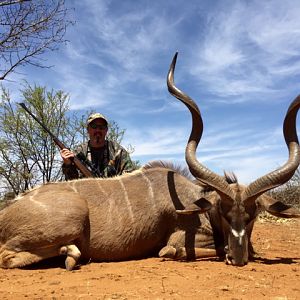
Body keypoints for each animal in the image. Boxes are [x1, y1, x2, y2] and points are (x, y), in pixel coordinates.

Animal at [0, 52, 300, 270]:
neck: (194, 201)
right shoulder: (183, 238)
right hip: (71, 216)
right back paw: (70, 254)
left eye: (252, 216)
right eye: (224, 213)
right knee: (7, 258)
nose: (238, 258)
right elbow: (175, 249)